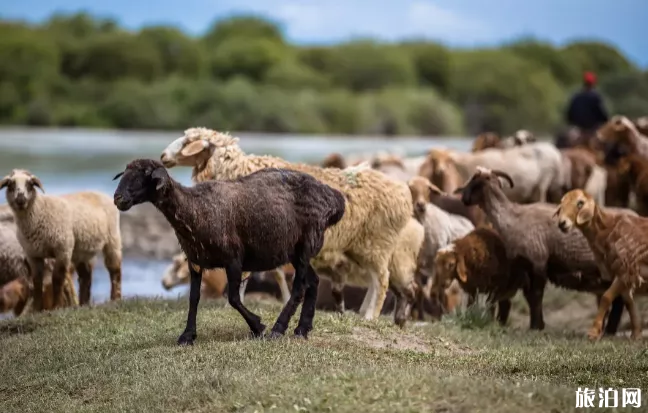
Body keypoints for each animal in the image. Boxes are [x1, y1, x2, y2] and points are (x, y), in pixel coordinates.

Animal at [0, 167, 123, 308]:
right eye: (10, 185)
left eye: (30, 184)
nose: (21, 199)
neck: (39, 211)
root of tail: (98, 192)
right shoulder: (33, 254)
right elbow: (37, 281)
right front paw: (37, 308)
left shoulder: (62, 250)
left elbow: (58, 279)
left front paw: (57, 306)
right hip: (81, 249)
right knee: (85, 276)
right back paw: (83, 304)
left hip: (112, 238)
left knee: (114, 270)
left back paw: (115, 299)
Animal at [456, 167, 628, 332]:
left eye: (474, 181)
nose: (463, 199)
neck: (512, 218)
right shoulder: (525, 268)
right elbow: (530, 298)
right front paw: (538, 324)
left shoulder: (538, 261)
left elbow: (536, 296)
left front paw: (536, 326)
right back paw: (610, 330)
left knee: (619, 302)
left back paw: (610, 330)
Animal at [552, 188, 648, 340]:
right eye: (562, 203)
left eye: (580, 203)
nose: (562, 223)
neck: (608, 229)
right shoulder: (623, 274)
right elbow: (629, 302)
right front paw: (636, 335)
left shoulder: (625, 269)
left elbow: (606, 297)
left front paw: (593, 333)